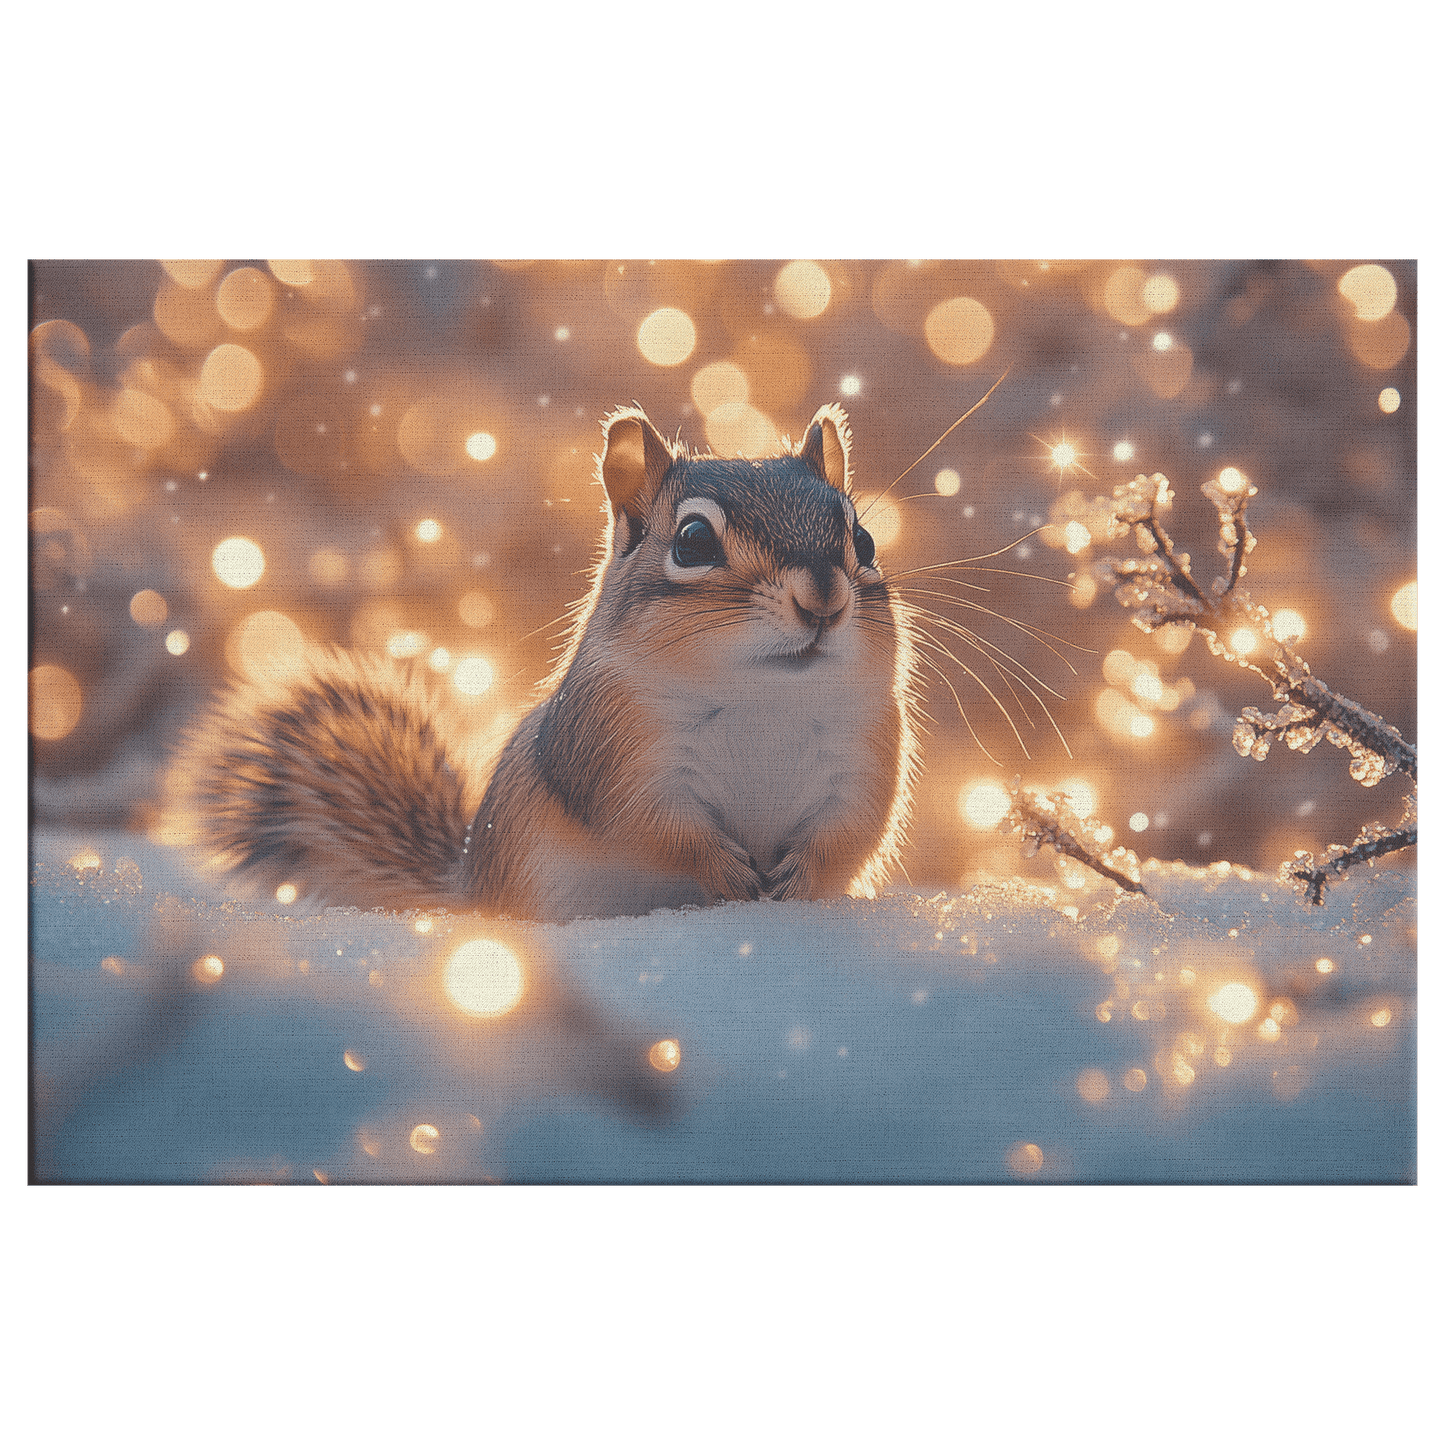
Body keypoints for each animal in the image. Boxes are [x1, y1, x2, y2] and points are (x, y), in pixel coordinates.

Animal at [181, 403, 919, 923]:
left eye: (862, 539)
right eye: (692, 541)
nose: (823, 598)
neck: (766, 696)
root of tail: (468, 891)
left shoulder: (865, 758)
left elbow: (852, 831)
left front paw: (798, 879)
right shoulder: (612, 755)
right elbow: (655, 830)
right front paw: (728, 873)